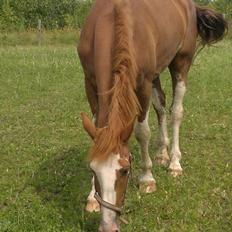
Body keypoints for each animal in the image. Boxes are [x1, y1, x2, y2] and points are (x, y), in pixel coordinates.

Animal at [77, 0, 227, 231]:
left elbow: (142, 132)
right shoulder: (90, 83)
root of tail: (191, 6)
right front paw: (92, 197)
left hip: (180, 63)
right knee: (161, 106)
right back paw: (162, 153)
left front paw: (147, 179)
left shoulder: (143, 84)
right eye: (93, 170)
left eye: (125, 170)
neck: (114, 21)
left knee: (176, 112)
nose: (108, 226)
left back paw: (174, 163)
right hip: (157, 72)